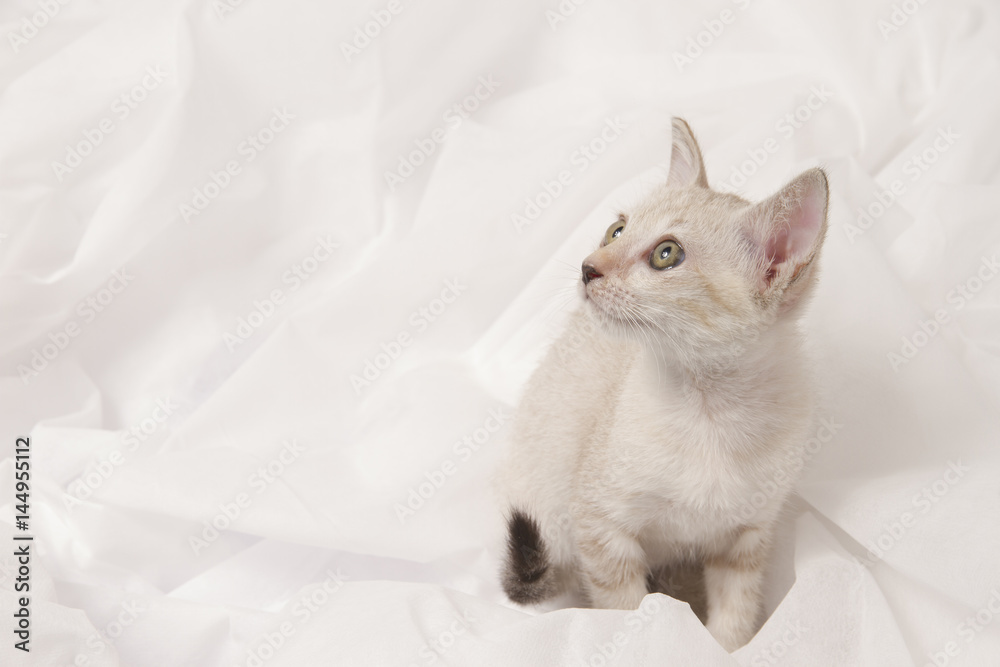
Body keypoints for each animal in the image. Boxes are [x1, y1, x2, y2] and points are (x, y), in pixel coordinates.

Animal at [498, 116, 828, 652]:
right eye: (616, 229)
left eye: (665, 255)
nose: (589, 267)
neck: (709, 410)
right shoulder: (600, 524)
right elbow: (627, 613)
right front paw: (655, 639)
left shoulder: (745, 538)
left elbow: (735, 618)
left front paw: (722, 648)